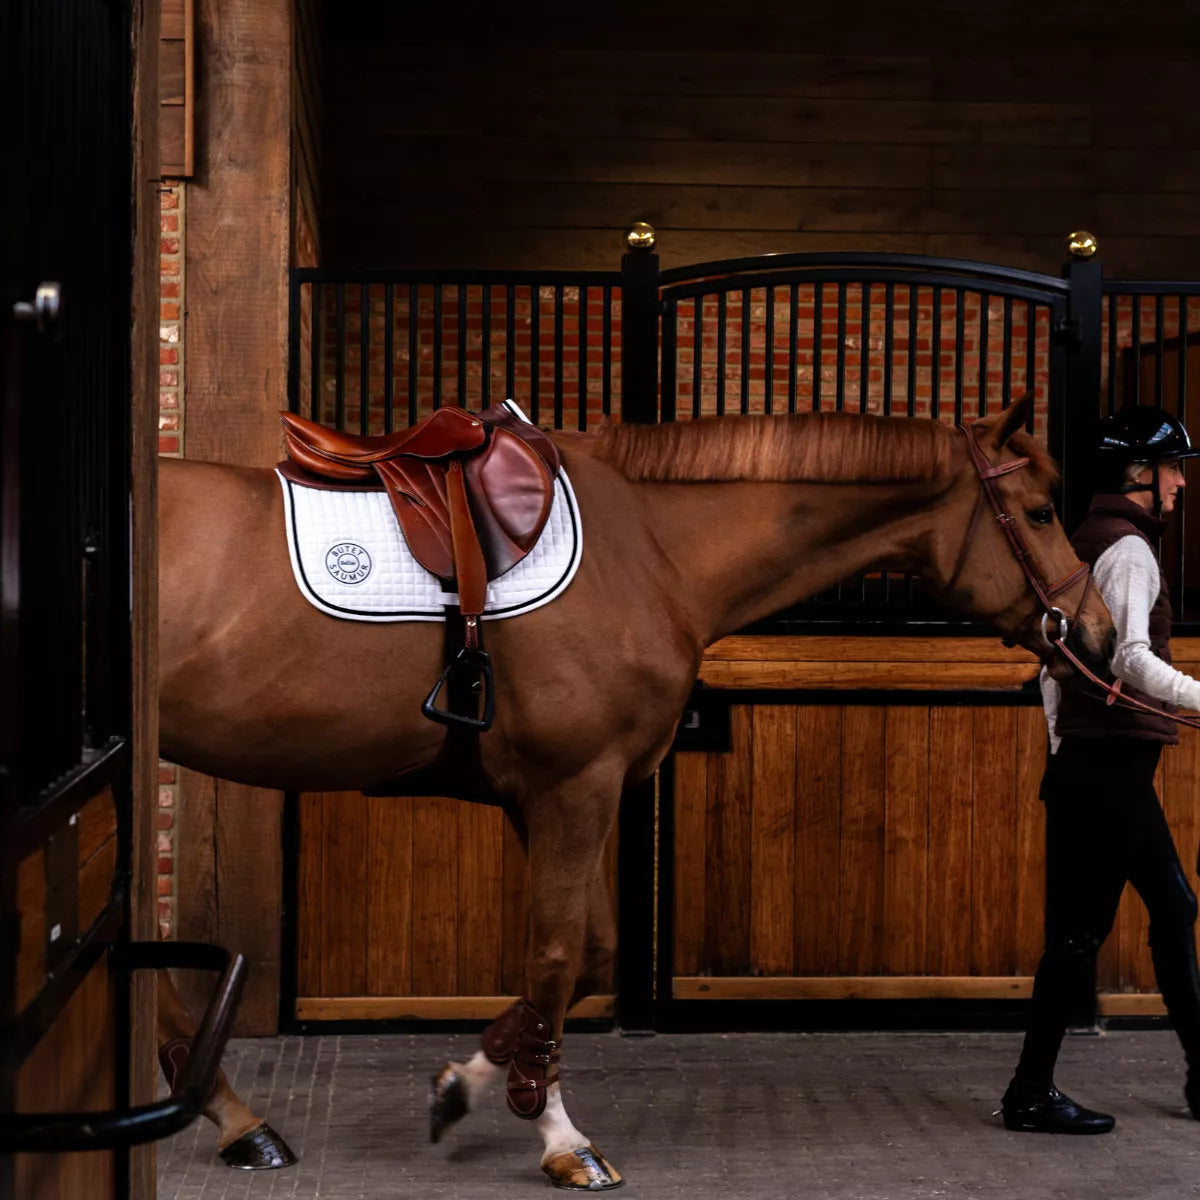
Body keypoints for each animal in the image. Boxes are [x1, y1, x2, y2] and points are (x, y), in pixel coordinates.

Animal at [159, 396, 1113, 1190]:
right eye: (1038, 512)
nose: (1100, 636)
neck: (650, 547)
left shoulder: (556, 795)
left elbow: (592, 955)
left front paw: (469, 1082)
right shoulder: (573, 789)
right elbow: (554, 958)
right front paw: (558, 1137)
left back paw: (230, 1113)